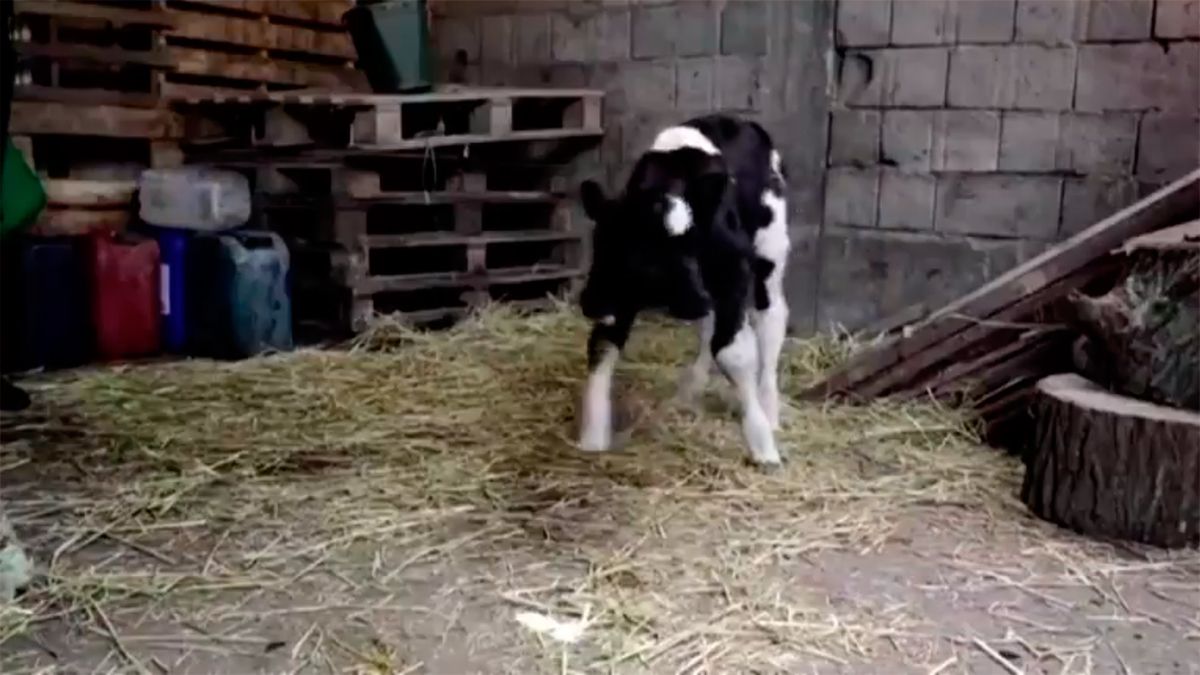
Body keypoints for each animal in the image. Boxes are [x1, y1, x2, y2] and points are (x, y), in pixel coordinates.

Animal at [576, 112, 792, 466]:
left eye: (689, 245)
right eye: (605, 243)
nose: (590, 302)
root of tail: (739, 120)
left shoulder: (733, 273)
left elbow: (734, 351)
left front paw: (762, 444)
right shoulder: (617, 292)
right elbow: (602, 346)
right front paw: (592, 439)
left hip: (769, 250)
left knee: (771, 317)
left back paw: (769, 407)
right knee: (709, 330)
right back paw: (691, 390)